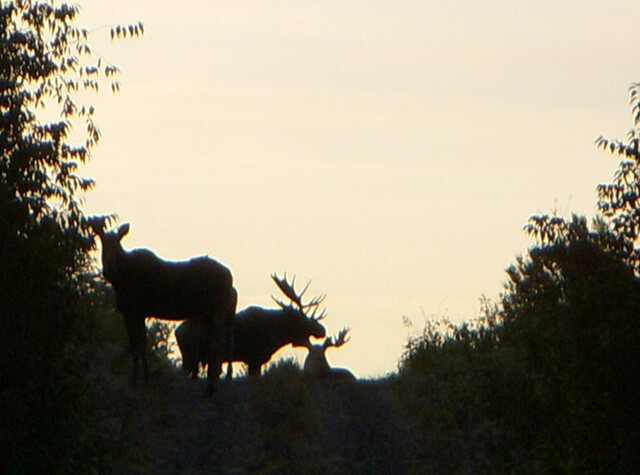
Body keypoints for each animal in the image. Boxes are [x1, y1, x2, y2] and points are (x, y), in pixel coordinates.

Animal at [89, 217, 236, 394]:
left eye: (118, 242)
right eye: (102, 241)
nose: (109, 269)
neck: (119, 280)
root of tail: (230, 277)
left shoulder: (133, 312)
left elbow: (136, 346)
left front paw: (137, 380)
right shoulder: (137, 314)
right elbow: (140, 344)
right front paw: (144, 379)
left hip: (215, 311)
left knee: (218, 343)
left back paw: (212, 384)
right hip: (214, 314)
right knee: (221, 341)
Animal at [175, 276, 324, 380]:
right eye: (303, 319)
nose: (322, 330)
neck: (274, 336)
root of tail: (177, 331)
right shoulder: (254, 358)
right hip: (189, 353)